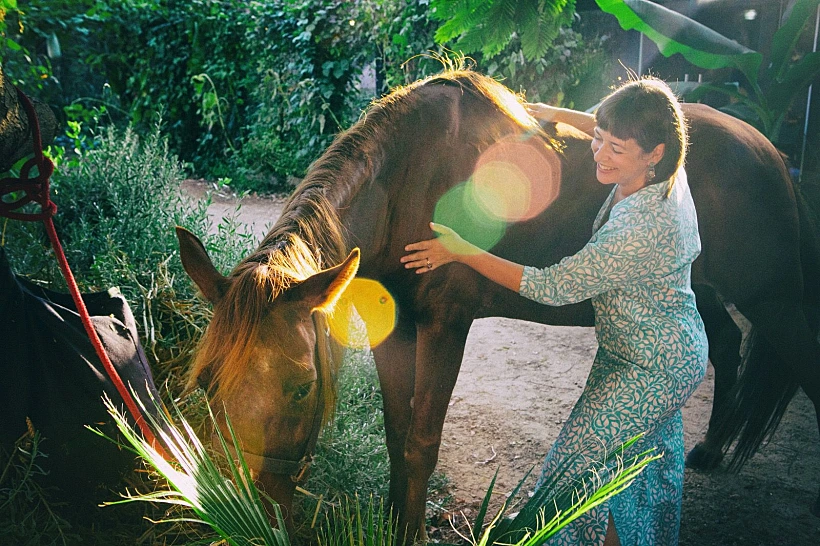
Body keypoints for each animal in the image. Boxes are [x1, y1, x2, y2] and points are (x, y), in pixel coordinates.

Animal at [175, 69, 820, 540]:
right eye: (205, 382)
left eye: (302, 388)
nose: (243, 519)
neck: (409, 180)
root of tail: (770, 154)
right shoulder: (397, 330)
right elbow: (397, 434)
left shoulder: (446, 326)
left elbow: (422, 441)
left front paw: (410, 532)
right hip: (702, 291)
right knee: (727, 345)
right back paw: (709, 449)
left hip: (775, 302)